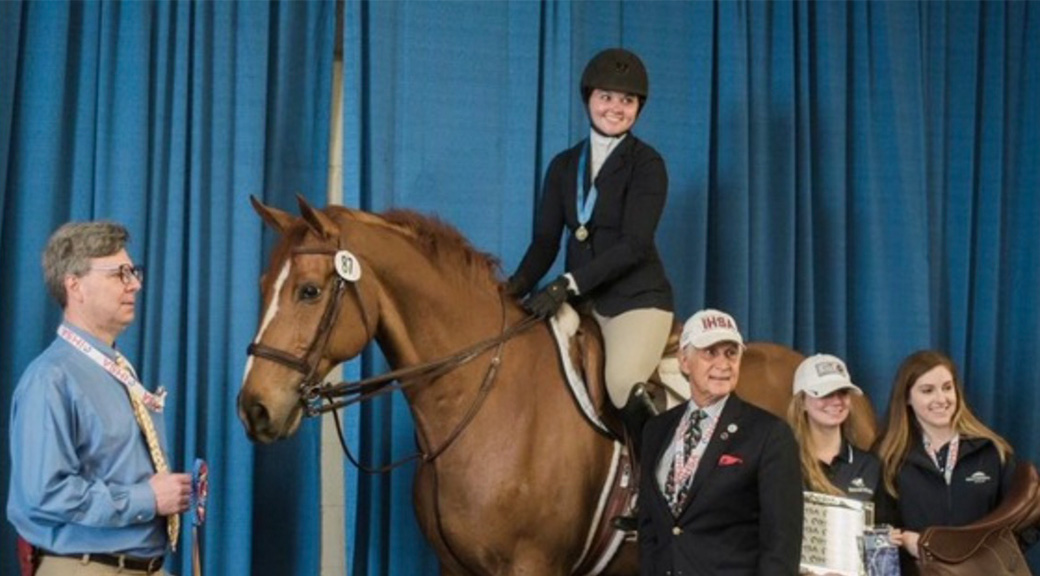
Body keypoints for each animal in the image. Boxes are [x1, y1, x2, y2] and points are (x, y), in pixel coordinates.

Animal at [238, 196, 877, 573]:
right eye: (264, 285)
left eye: (309, 291)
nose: (254, 408)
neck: (480, 399)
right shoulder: (455, 567)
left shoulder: (531, 565)